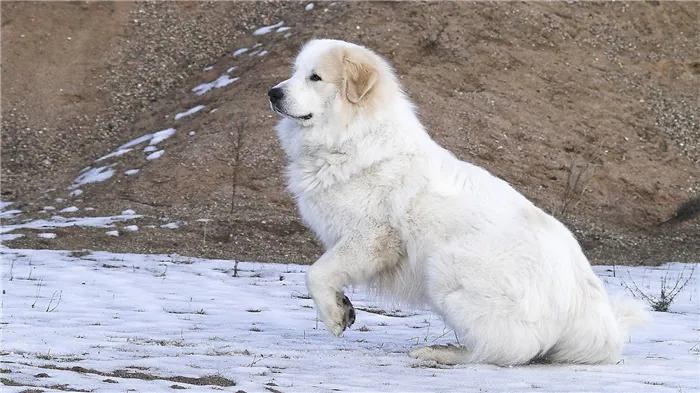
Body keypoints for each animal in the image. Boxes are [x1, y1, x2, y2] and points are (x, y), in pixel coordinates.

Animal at [266, 39, 644, 364]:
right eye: (295, 71)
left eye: (315, 77)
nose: (272, 92)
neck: (352, 137)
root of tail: (588, 310)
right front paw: (343, 306)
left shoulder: (372, 238)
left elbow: (316, 273)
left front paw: (333, 316)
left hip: (444, 267)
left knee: (509, 349)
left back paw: (442, 352)